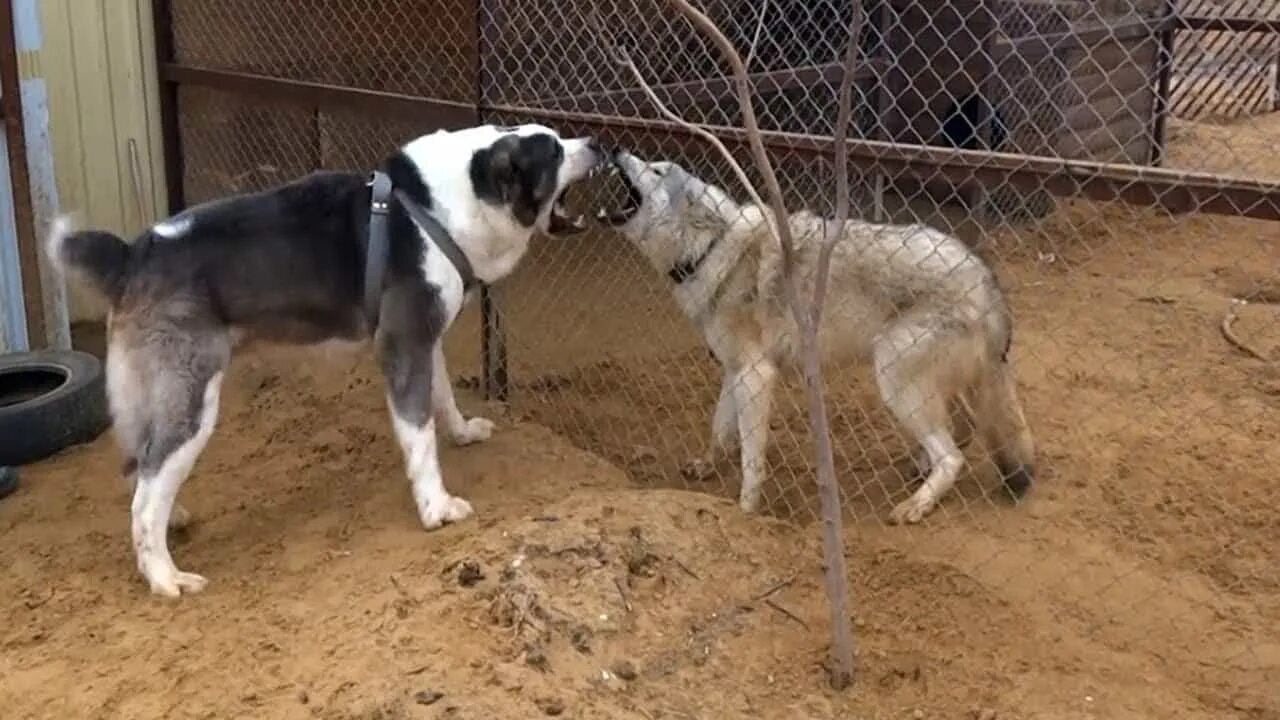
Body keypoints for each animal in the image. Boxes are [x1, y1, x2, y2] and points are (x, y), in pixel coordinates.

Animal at [49, 121, 609, 594]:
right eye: (554, 151)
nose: (598, 143)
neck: (446, 205)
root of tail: (131, 253)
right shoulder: (402, 345)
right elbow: (419, 436)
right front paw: (436, 507)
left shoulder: (424, 340)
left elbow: (443, 397)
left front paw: (464, 432)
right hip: (191, 398)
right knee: (145, 499)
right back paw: (165, 577)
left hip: (147, 396)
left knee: (140, 465)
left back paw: (174, 517)